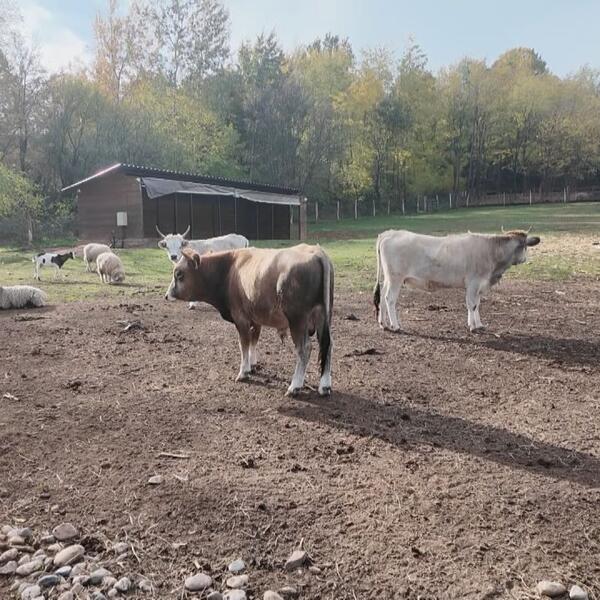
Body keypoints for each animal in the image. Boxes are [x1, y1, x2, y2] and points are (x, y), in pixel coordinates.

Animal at [165, 244, 334, 396]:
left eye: (179, 273)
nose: (167, 295)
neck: (228, 270)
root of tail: (317, 252)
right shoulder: (255, 318)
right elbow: (254, 340)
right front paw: (252, 365)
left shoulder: (241, 318)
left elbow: (244, 344)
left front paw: (243, 372)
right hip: (323, 317)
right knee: (327, 345)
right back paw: (324, 386)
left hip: (297, 320)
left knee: (304, 349)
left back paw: (295, 386)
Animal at [373, 229, 541, 332]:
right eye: (523, 246)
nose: (524, 260)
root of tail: (389, 233)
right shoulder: (473, 282)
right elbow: (472, 304)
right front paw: (473, 327)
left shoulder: (479, 285)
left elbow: (477, 304)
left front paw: (479, 324)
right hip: (396, 278)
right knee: (389, 299)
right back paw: (395, 326)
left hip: (388, 278)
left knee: (382, 297)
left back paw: (383, 324)